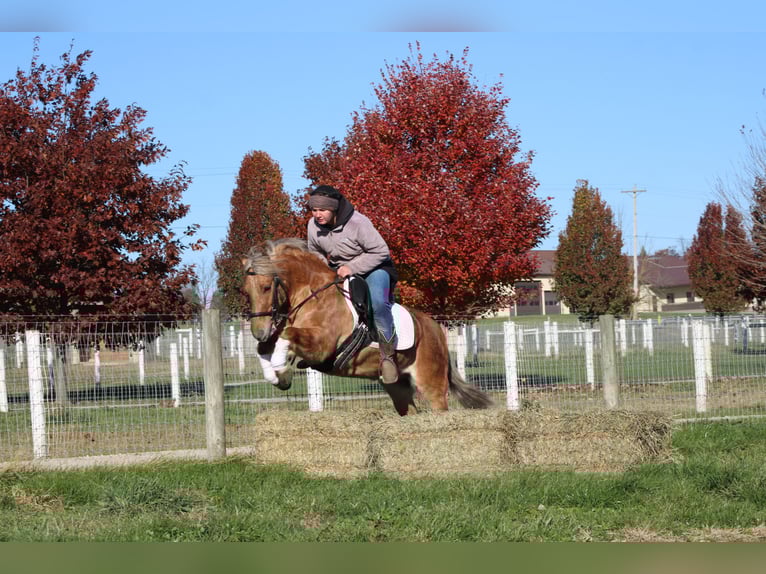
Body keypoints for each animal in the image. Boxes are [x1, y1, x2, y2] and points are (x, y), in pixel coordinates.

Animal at [241, 237, 494, 416]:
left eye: (266, 287)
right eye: (244, 291)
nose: (259, 332)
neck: (311, 295)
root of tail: (435, 330)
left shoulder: (323, 346)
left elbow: (286, 334)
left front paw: (279, 367)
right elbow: (265, 348)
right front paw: (277, 376)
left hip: (432, 384)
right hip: (397, 386)